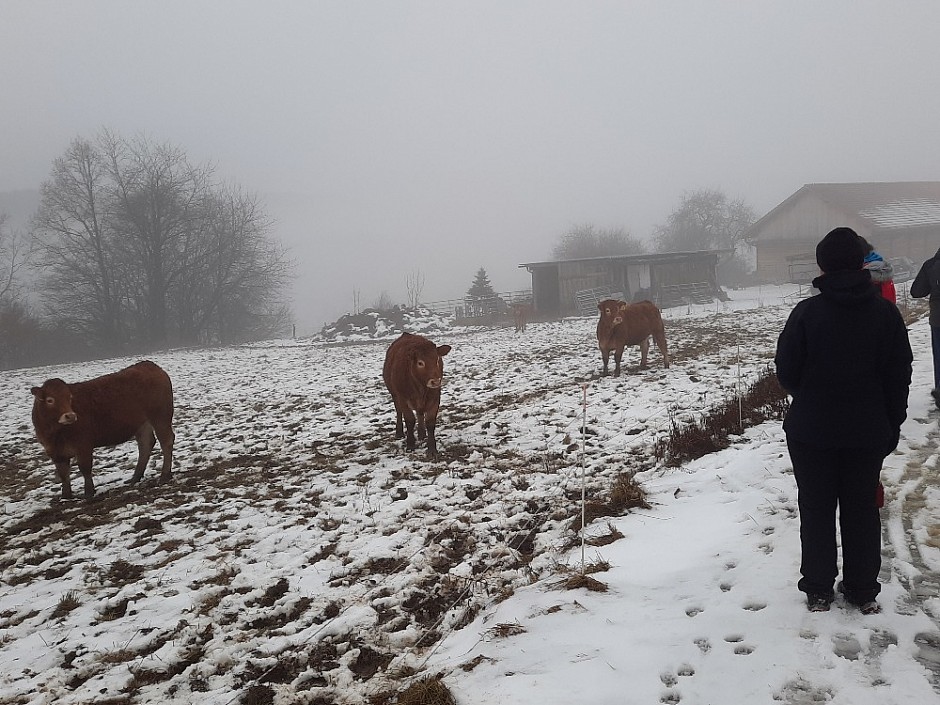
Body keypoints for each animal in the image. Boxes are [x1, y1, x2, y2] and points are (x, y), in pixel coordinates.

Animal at [30, 360, 176, 498]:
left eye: (69, 397)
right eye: (50, 400)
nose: (70, 416)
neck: (54, 433)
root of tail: (150, 365)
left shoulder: (83, 445)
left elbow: (85, 468)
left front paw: (89, 493)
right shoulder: (55, 452)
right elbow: (63, 475)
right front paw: (66, 497)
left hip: (160, 417)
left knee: (166, 441)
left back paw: (164, 475)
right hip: (142, 423)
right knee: (146, 444)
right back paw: (135, 477)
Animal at [384, 332, 454, 460]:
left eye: (437, 359)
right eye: (420, 363)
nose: (435, 381)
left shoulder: (435, 397)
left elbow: (430, 422)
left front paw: (432, 449)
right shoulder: (402, 398)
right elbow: (409, 420)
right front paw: (410, 444)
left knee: (420, 413)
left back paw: (422, 433)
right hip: (394, 395)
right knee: (399, 412)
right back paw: (399, 432)